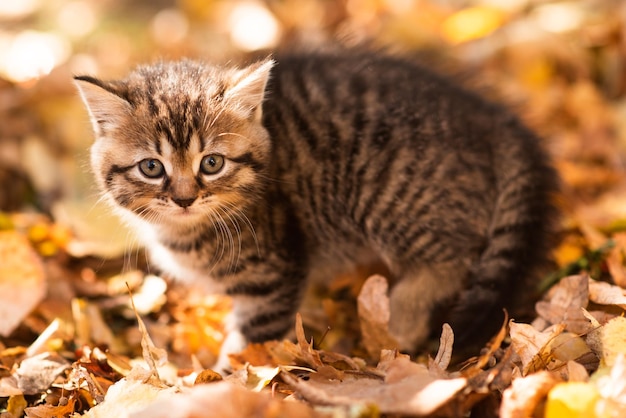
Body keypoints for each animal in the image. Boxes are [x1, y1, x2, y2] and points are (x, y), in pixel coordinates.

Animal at [75, 48, 560, 370]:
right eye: (151, 167)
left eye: (211, 163)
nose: (183, 198)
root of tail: (488, 118)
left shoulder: (274, 274)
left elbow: (252, 345)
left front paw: (220, 383)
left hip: (386, 194)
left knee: (453, 259)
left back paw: (401, 318)